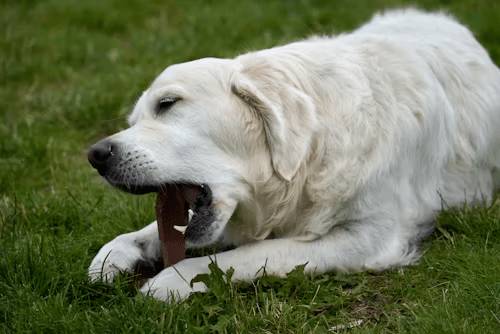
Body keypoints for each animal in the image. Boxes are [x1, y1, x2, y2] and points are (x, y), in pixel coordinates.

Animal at [88, 9, 500, 302]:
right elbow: (145, 234)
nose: (96, 154)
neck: (307, 156)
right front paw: (117, 253)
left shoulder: (368, 235)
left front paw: (173, 279)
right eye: (134, 120)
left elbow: (252, 254)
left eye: (168, 103)